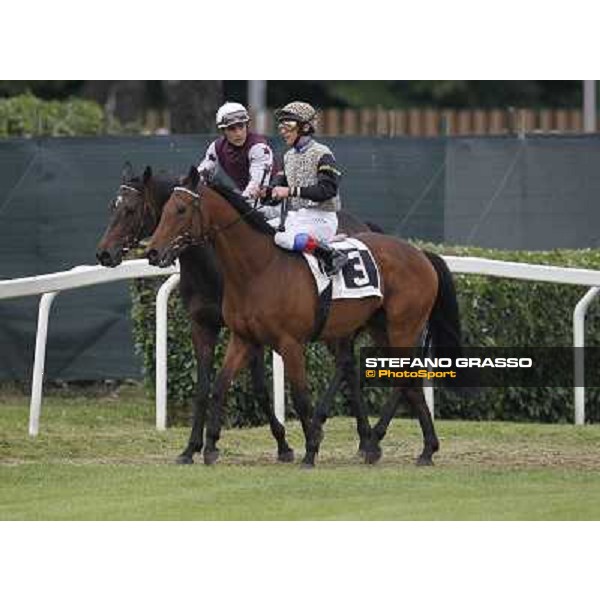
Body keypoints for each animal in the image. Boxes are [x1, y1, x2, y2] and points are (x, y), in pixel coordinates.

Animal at [98, 164, 378, 464]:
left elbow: (259, 389)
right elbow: (204, 387)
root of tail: (363, 224)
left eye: (130, 209)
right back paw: (362, 438)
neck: (212, 267)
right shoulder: (204, 326)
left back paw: (351, 434)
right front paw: (192, 447)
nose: (104, 253)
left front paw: (282, 444)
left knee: (346, 365)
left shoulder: (250, 333)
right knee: (348, 367)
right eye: (112, 206)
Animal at [145, 168, 464, 468]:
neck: (258, 269)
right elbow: (220, 386)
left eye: (181, 209)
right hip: (380, 328)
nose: (152, 252)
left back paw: (393, 443)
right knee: (405, 377)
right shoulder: (243, 338)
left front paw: (310, 449)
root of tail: (421, 253)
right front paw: (208, 447)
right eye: (164, 209)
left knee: (404, 375)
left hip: (403, 327)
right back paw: (415, 447)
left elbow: (299, 397)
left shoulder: (290, 343)